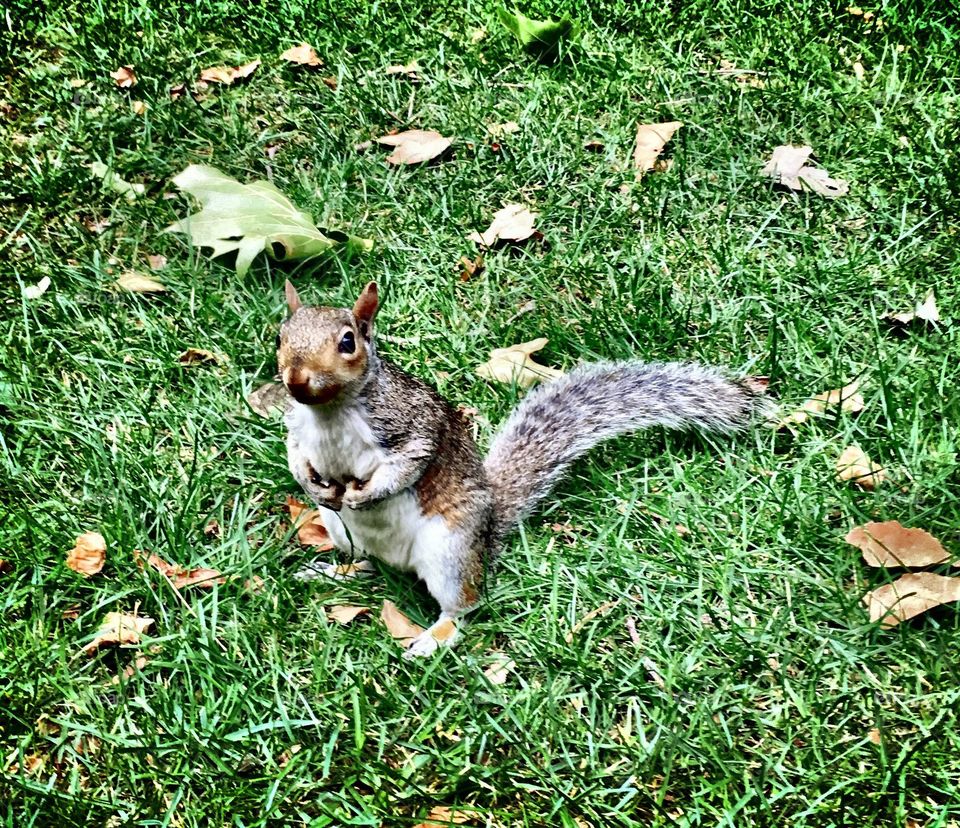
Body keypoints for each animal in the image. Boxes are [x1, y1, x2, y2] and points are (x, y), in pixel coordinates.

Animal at [278, 280, 767, 658]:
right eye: (280, 337)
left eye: (347, 342)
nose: (295, 381)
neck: (330, 412)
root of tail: (488, 529)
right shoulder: (297, 428)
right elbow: (295, 454)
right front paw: (312, 482)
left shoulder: (412, 424)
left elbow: (409, 462)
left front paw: (366, 493)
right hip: (344, 533)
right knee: (367, 564)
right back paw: (331, 570)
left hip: (450, 548)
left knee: (464, 605)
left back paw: (435, 637)